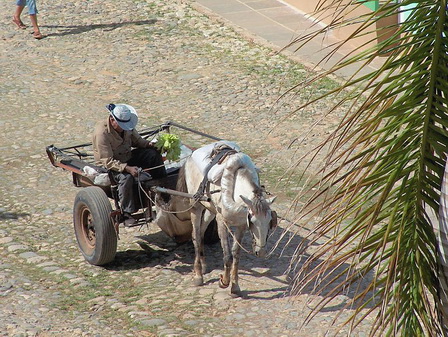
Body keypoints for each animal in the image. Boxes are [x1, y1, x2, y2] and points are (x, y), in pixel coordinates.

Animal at [176, 143, 276, 296]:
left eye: (270, 222)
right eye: (253, 222)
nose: (261, 252)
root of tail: (189, 157)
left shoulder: (241, 225)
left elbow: (236, 254)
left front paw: (235, 286)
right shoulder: (222, 222)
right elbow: (227, 256)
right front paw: (224, 281)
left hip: (210, 210)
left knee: (201, 232)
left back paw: (204, 265)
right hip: (196, 207)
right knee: (196, 236)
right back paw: (198, 275)